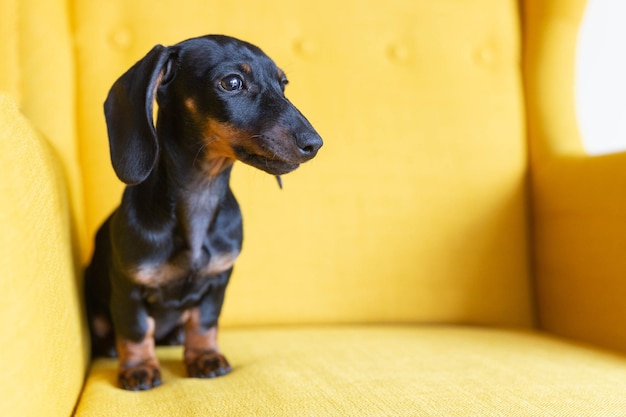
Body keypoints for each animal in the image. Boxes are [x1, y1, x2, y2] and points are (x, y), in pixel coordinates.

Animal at [84, 35, 322, 390]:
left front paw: (204, 357)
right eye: (232, 82)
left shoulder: (218, 281)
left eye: (283, 84)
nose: (314, 144)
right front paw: (139, 368)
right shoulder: (128, 287)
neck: (200, 195)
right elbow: (136, 330)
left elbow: (205, 323)